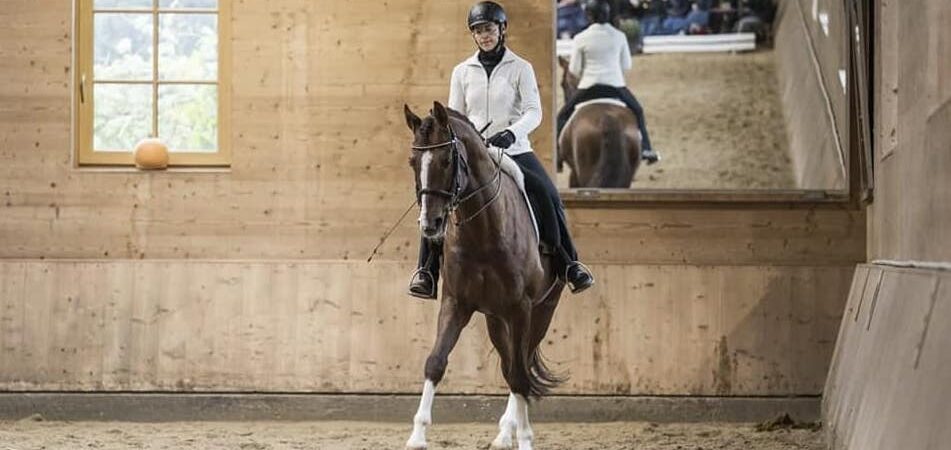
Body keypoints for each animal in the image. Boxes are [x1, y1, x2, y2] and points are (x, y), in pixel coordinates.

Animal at [402, 102, 564, 450]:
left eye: (448, 160)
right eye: (413, 161)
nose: (431, 224)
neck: (483, 232)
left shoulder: (521, 308)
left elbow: (520, 376)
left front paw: (526, 439)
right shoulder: (455, 303)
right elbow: (435, 362)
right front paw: (417, 436)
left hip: (541, 312)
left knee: (520, 368)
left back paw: (511, 430)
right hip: (495, 319)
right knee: (508, 365)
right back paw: (504, 433)